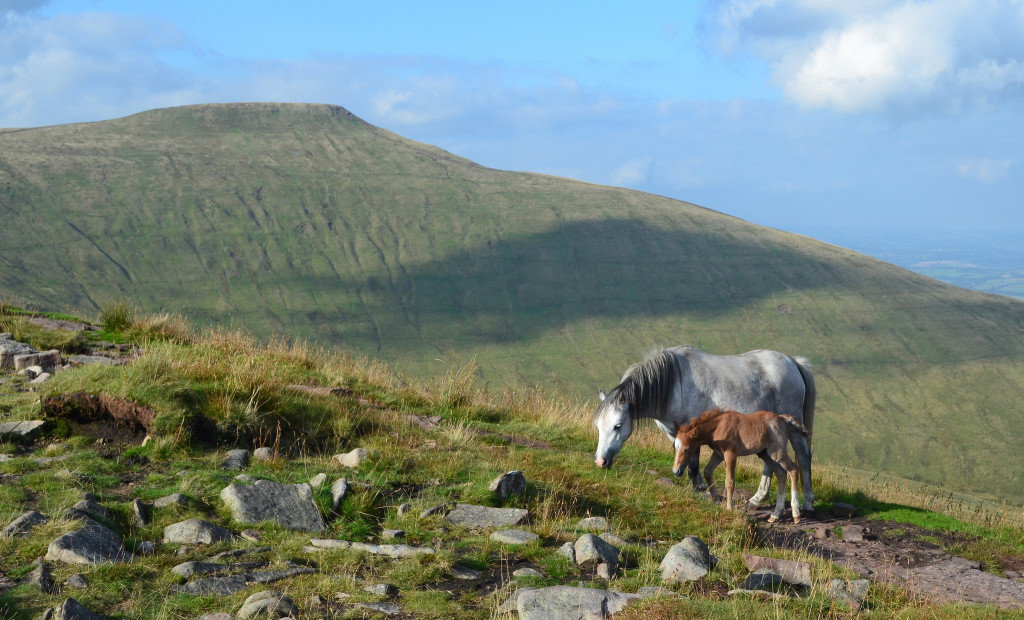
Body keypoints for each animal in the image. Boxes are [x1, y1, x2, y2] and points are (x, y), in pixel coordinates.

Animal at [593, 346, 815, 510]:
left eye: (617, 426)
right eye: (598, 427)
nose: (600, 461)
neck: (674, 385)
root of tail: (793, 362)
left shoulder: (693, 433)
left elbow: (693, 462)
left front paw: (697, 489)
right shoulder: (676, 435)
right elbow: (686, 459)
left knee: (803, 457)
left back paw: (806, 502)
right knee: (770, 463)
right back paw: (758, 498)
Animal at [671, 411, 806, 522]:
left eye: (687, 449)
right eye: (674, 447)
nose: (676, 471)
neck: (718, 427)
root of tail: (782, 418)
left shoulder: (731, 454)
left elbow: (730, 481)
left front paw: (729, 508)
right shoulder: (718, 454)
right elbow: (707, 471)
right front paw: (716, 499)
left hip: (777, 453)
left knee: (794, 470)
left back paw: (796, 514)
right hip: (765, 454)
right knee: (781, 474)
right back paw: (775, 514)